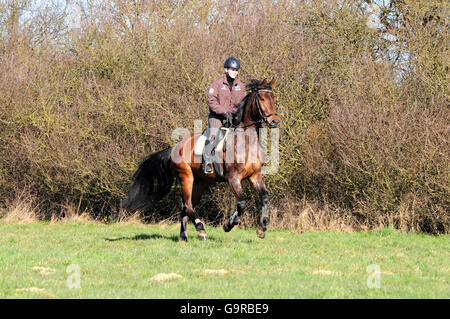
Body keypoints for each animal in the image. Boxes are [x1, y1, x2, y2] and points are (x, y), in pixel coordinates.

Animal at [121, 79, 280, 241]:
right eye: (262, 99)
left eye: (274, 99)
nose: (274, 121)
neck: (246, 141)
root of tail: (175, 147)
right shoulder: (233, 178)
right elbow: (241, 203)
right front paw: (228, 224)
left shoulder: (254, 175)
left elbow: (265, 198)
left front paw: (262, 228)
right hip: (186, 177)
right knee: (187, 205)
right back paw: (201, 229)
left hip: (201, 182)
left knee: (187, 205)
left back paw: (183, 236)